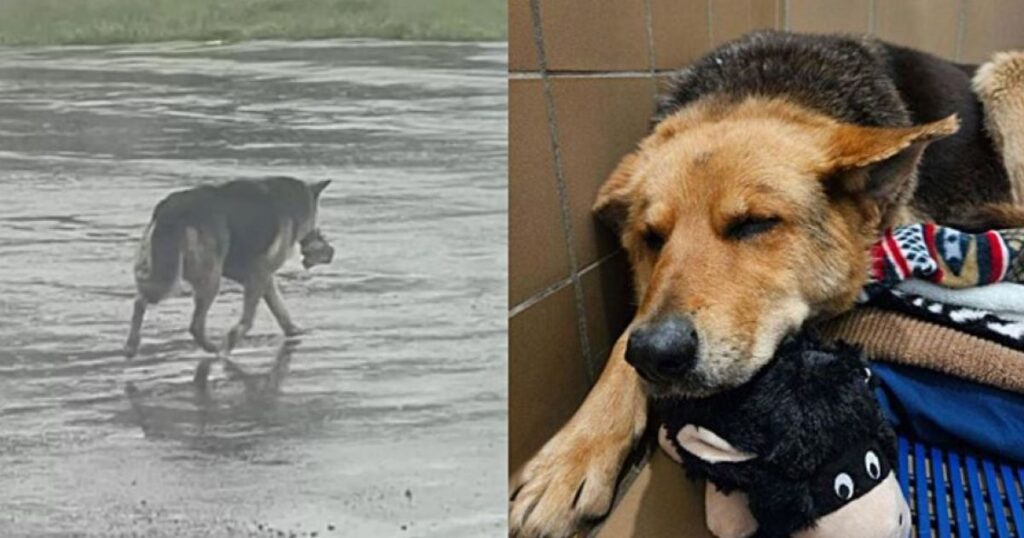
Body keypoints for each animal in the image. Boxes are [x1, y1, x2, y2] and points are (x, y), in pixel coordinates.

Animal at [122, 178, 333, 358]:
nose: (329, 250)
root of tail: (172, 211)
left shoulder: (255, 275)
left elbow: (279, 308)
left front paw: (293, 330)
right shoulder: (259, 274)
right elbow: (249, 318)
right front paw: (232, 339)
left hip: (165, 271)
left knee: (140, 300)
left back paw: (131, 345)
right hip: (207, 279)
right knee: (195, 325)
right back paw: (214, 349)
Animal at [509, 30, 1024, 536]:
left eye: (754, 224)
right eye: (651, 238)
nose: (656, 354)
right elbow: (625, 338)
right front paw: (574, 454)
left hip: (1004, 74)